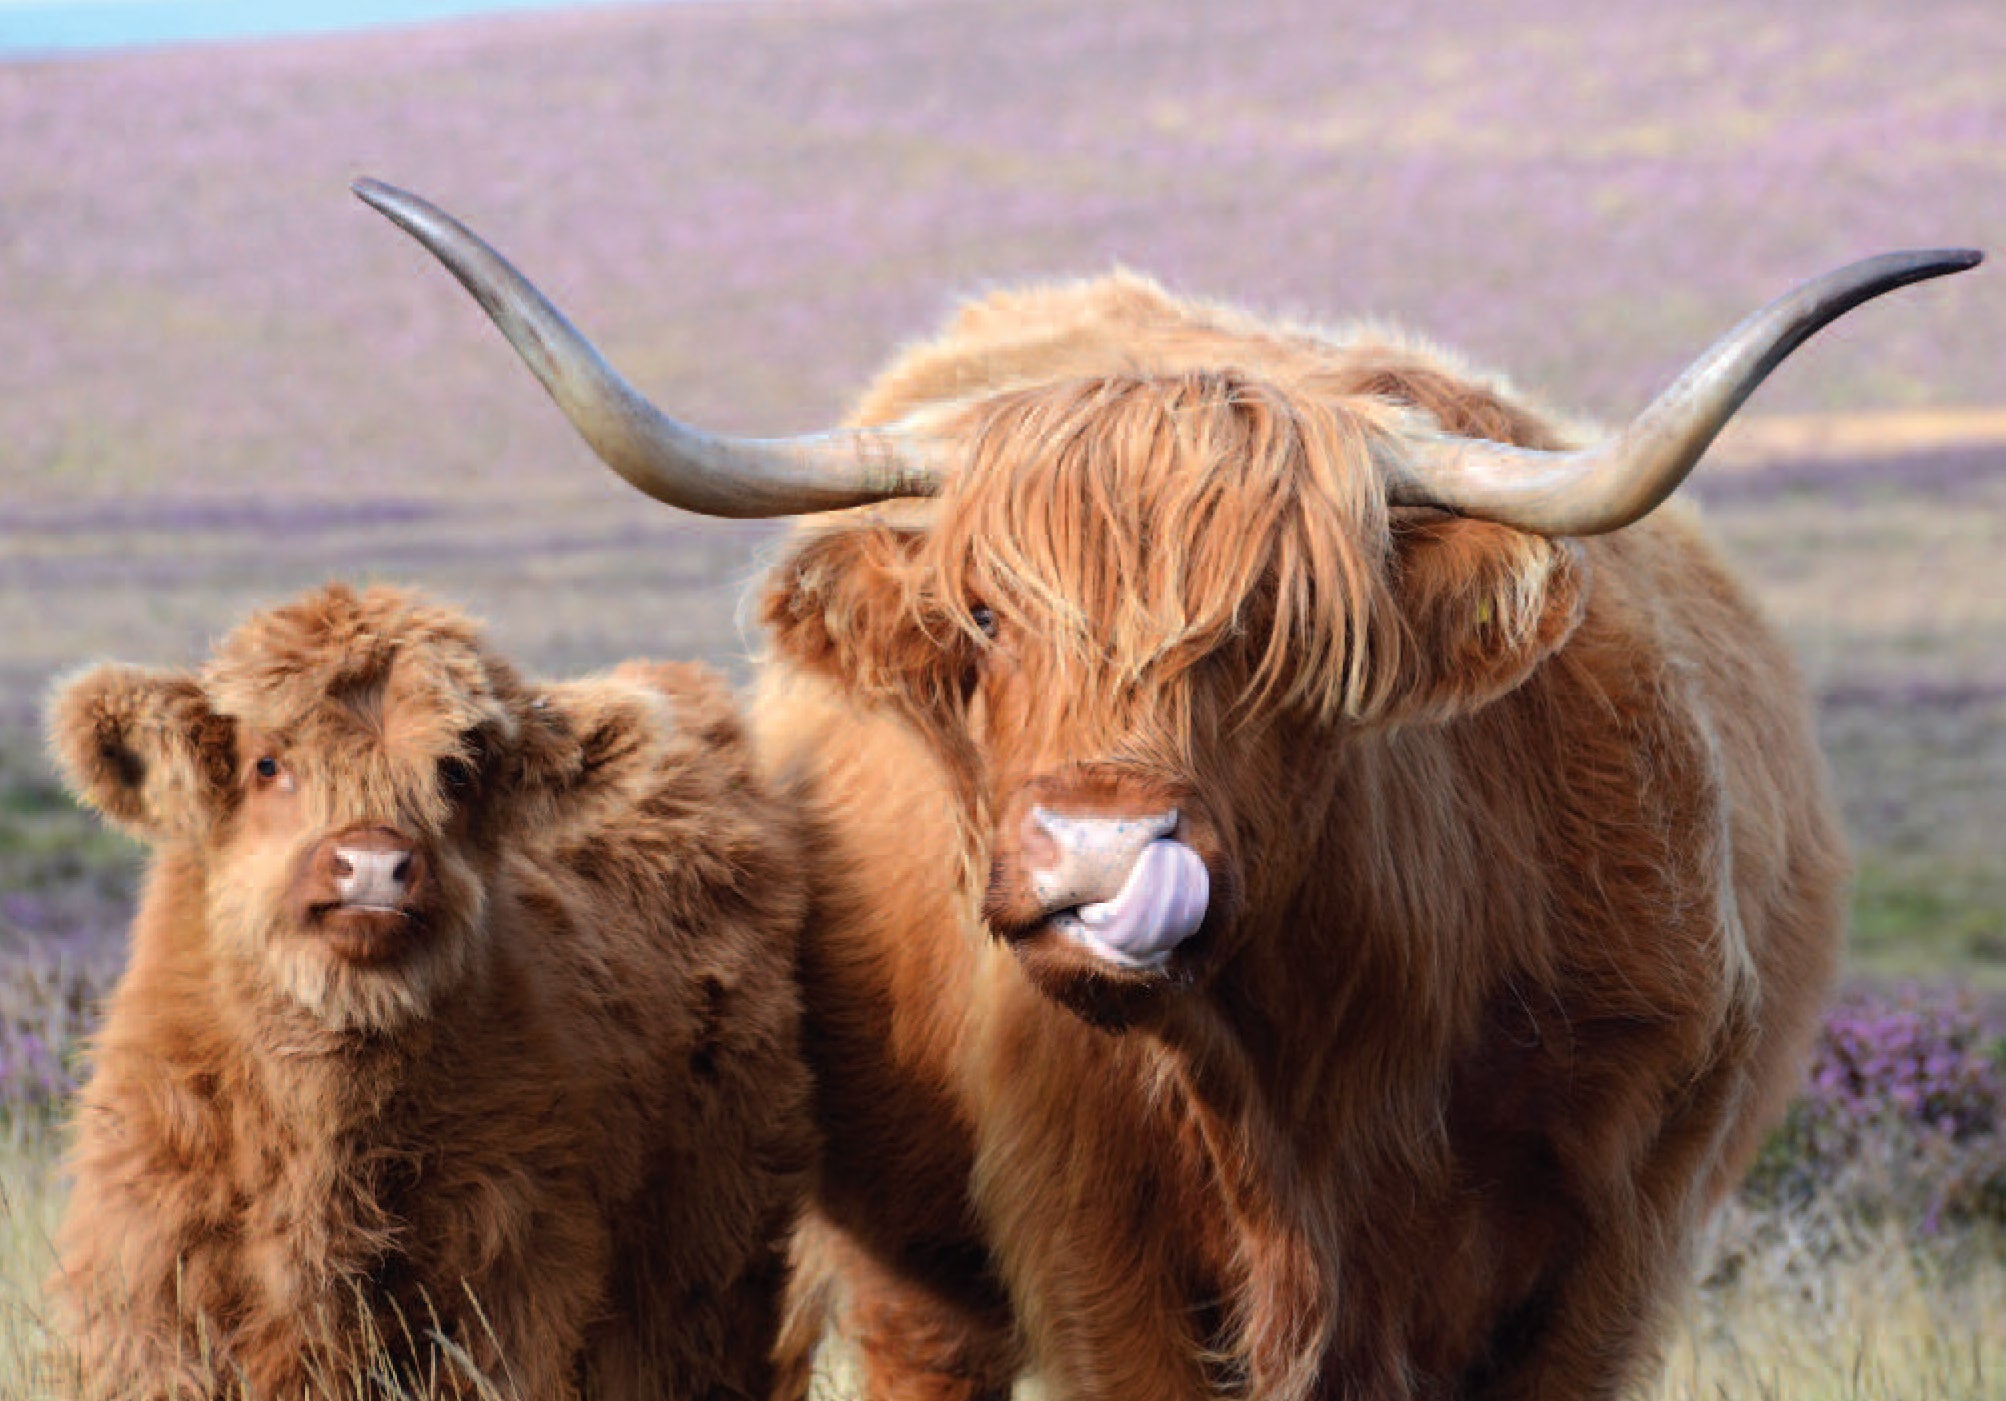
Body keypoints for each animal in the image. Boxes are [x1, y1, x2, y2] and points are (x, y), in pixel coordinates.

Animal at [48, 582, 814, 1396]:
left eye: (456, 771)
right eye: (267, 763)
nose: (371, 865)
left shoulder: (511, 1273)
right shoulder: (153, 1281)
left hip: (710, 1251)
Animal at [349, 179, 1973, 1396]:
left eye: (1273, 629)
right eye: (983, 618)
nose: (1095, 853)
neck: (1322, 1060)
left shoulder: (1615, 1242)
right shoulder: (1089, 1236)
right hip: (898, 1253)